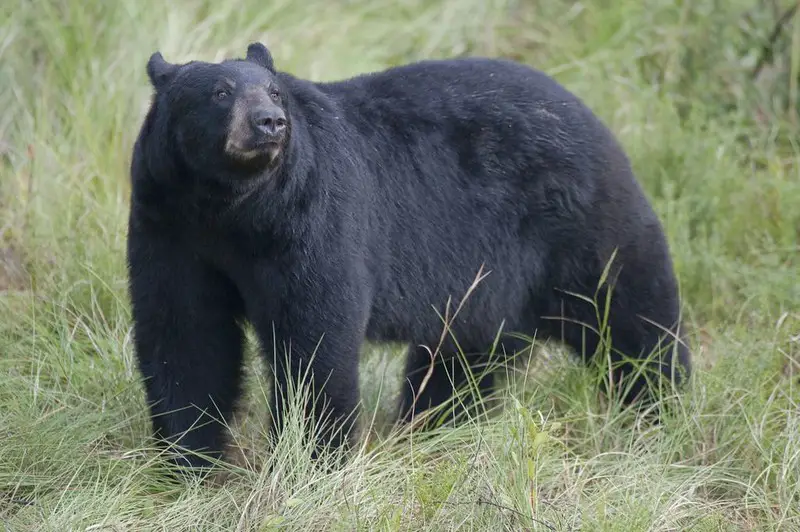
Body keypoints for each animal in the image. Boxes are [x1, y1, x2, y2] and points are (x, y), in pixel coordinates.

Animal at [128, 42, 692, 470]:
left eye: (274, 90)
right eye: (220, 93)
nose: (271, 122)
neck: (233, 210)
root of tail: (590, 115)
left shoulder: (313, 222)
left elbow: (313, 332)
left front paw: (313, 458)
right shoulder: (169, 227)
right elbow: (185, 334)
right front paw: (187, 460)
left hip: (580, 230)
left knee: (631, 319)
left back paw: (662, 408)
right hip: (486, 282)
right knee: (463, 357)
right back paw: (434, 425)